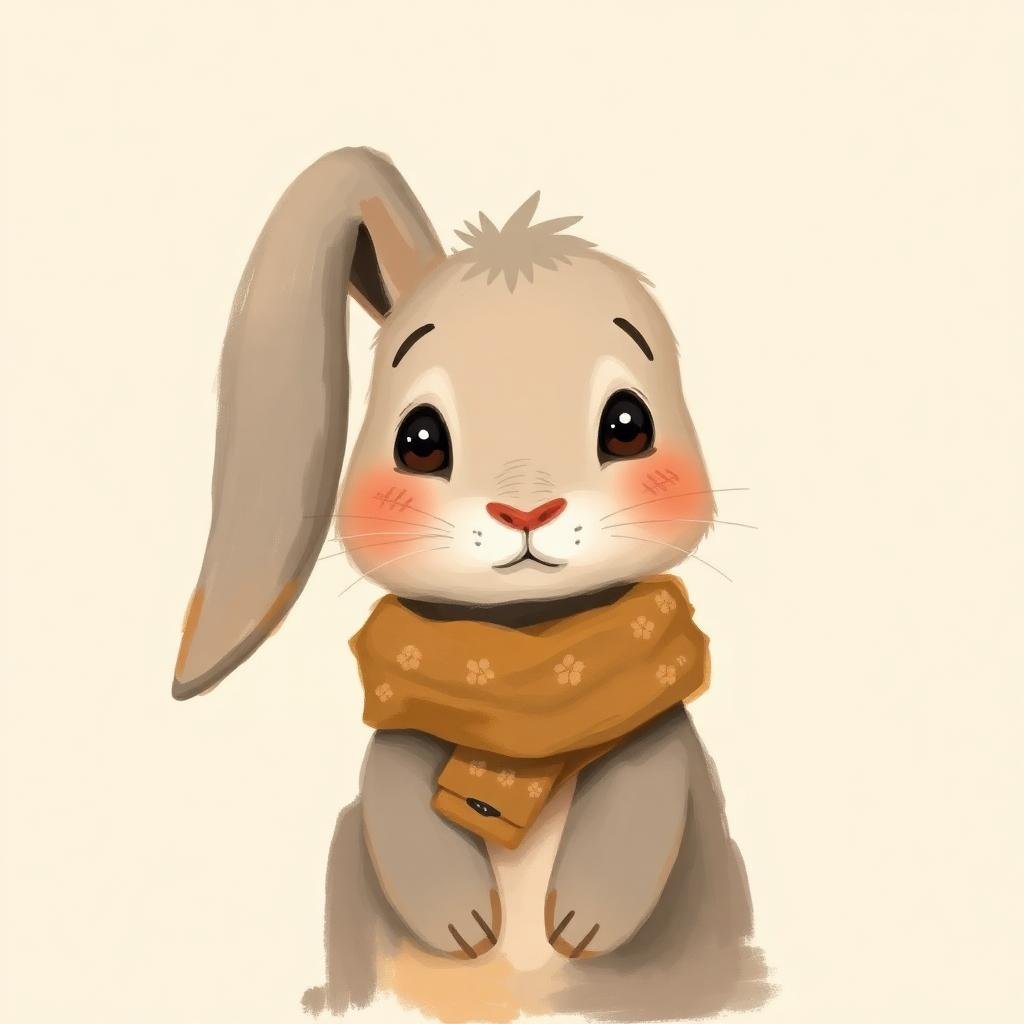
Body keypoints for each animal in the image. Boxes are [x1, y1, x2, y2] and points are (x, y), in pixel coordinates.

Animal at [172, 146, 770, 1021]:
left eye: (628, 424)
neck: (523, 646)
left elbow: (644, 797)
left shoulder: (652, 731)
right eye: (419, 439)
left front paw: (587, 922)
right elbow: (394, 802)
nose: (527, 509)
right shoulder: (400, 734)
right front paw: (458, 923)